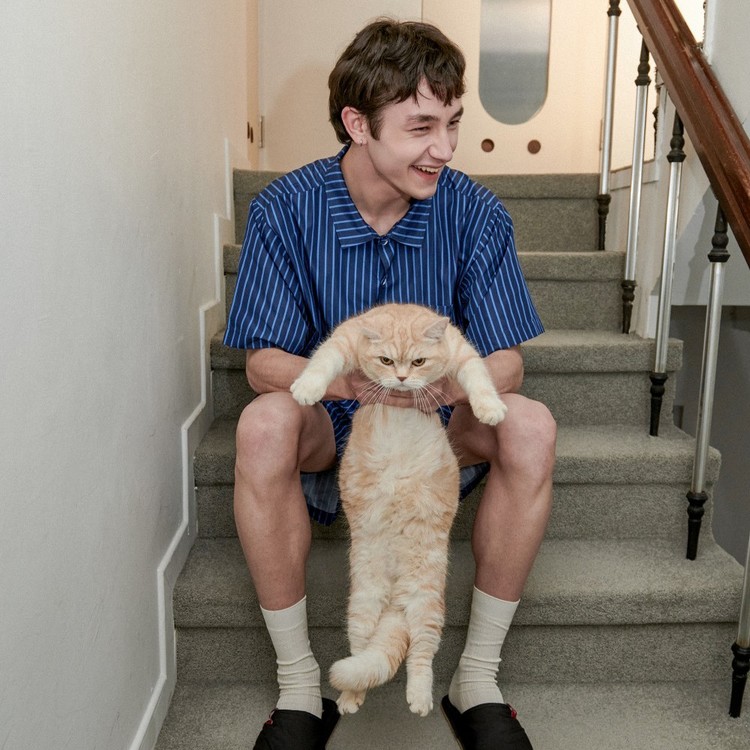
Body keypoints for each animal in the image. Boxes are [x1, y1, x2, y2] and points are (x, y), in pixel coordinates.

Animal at [290, 303, 507, 717]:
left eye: (419, 361)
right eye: (386, 360)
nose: (403, 378)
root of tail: (395, 596)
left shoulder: (463, 355)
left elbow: (480, 380)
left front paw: (490, 409)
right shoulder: (342, 341)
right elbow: (321, 363)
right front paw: (307, 389)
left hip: (426, 605)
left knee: (420, 659)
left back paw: (419, 699)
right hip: (362, 607)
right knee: (363, 656)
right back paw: (350, 698)